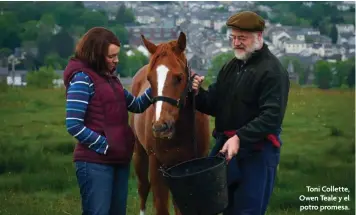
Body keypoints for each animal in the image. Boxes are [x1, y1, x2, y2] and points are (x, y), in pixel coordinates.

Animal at [129, 31, 210, 215]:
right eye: (150, 79)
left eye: (179, 77)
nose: (161, 127)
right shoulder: (157, 166)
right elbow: (161, 206)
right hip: (139, 153)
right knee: (143, 188)